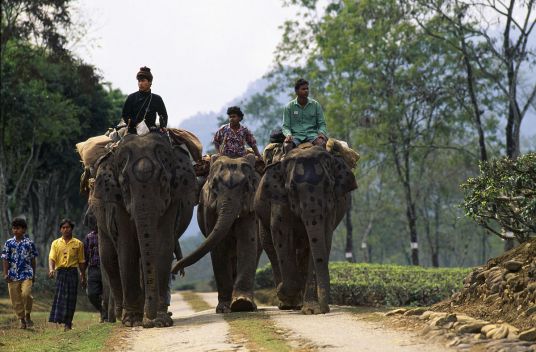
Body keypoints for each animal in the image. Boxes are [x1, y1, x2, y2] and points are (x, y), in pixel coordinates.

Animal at [88, 132, 197, 328]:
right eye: (124, 184)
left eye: (164, 181)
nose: (148, 322)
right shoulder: (117, 201)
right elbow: (127, 247)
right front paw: (132, 321)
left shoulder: (172, 199)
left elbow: (163, 244)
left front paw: (161, 321)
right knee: (108, 258)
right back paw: (120, 314)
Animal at [172, 155, 260, 312]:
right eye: (214, 186)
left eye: (246, 187)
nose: (175, 271)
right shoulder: (208, 208)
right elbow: (219, 247)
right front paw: (224, 309)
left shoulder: (251, 206)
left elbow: (247, 241)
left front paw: (242, 304)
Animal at [254, 145, 356, 314]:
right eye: (292, 188)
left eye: (329, 185)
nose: (325, 309)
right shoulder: (279, 201)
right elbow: (281, 236)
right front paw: (283, 292)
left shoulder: (332, 205)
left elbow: (323, 238)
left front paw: (312, 309)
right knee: (270, 247)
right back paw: (287, 303)